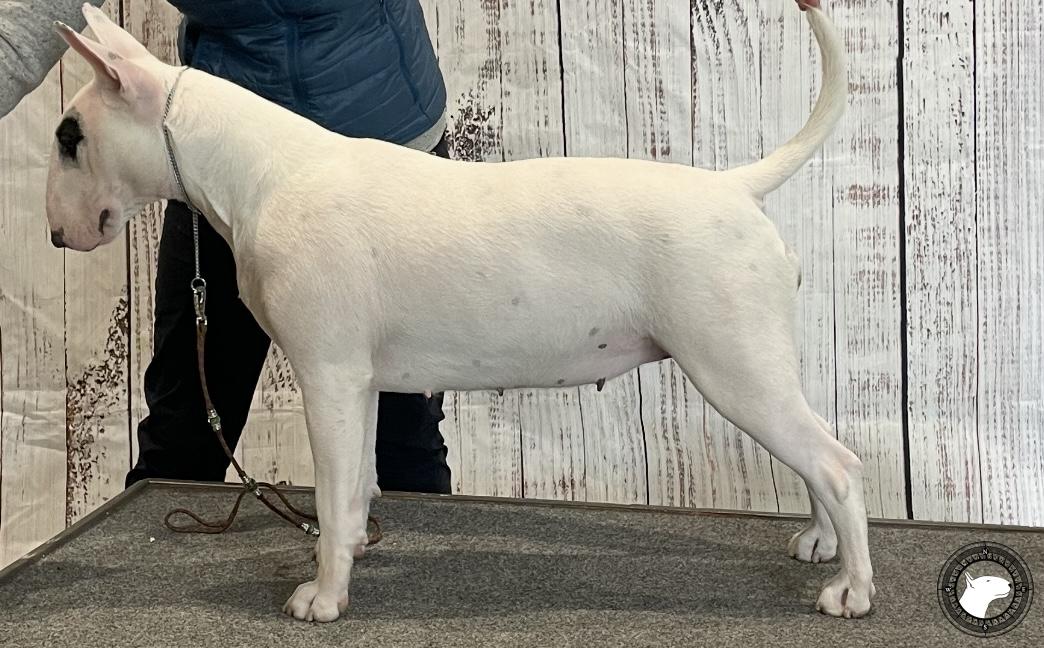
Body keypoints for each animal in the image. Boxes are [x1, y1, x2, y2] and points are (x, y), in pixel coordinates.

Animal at [45, 0, 875, 622]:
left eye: (69, 138)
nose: (53, 236)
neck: (261, 172)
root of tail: (734, 186)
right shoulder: (359, 385)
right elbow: (355, 486)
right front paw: (351, 553)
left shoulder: (327, 376)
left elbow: (334, 493)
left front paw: (323, 597)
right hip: (758, 367)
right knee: (815, 454)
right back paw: (819, 543)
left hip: (734, 366)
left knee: (837, 464)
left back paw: (851, 590)